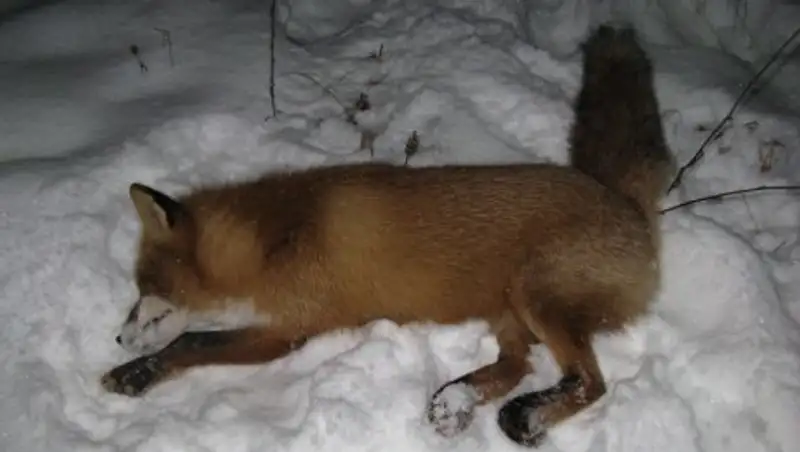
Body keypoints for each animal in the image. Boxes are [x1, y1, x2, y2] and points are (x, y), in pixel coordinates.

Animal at [101, 24, 672, 447]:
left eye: (145, 287)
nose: (117, 339)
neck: (278, 236)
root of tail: (625, 202)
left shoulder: (287, 332)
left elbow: (190, 341)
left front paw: (134, 373)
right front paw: (133, 368)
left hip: (536, 296)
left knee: (589, 382)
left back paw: (526, 418)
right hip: (508, 307)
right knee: (517, 364)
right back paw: (458, 400)